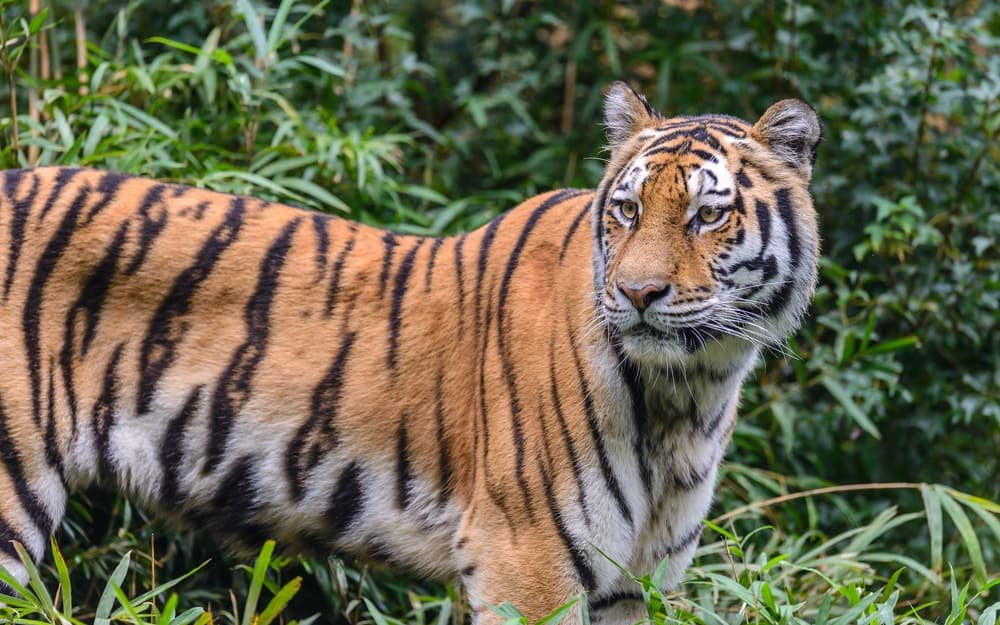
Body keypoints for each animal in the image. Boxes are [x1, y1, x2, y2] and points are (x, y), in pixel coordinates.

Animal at [0, 82, 820, 623]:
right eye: (626, 209)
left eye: (707, 215)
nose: (638, 292)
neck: (689, 390)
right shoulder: (526, 559)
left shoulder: (635, 580)